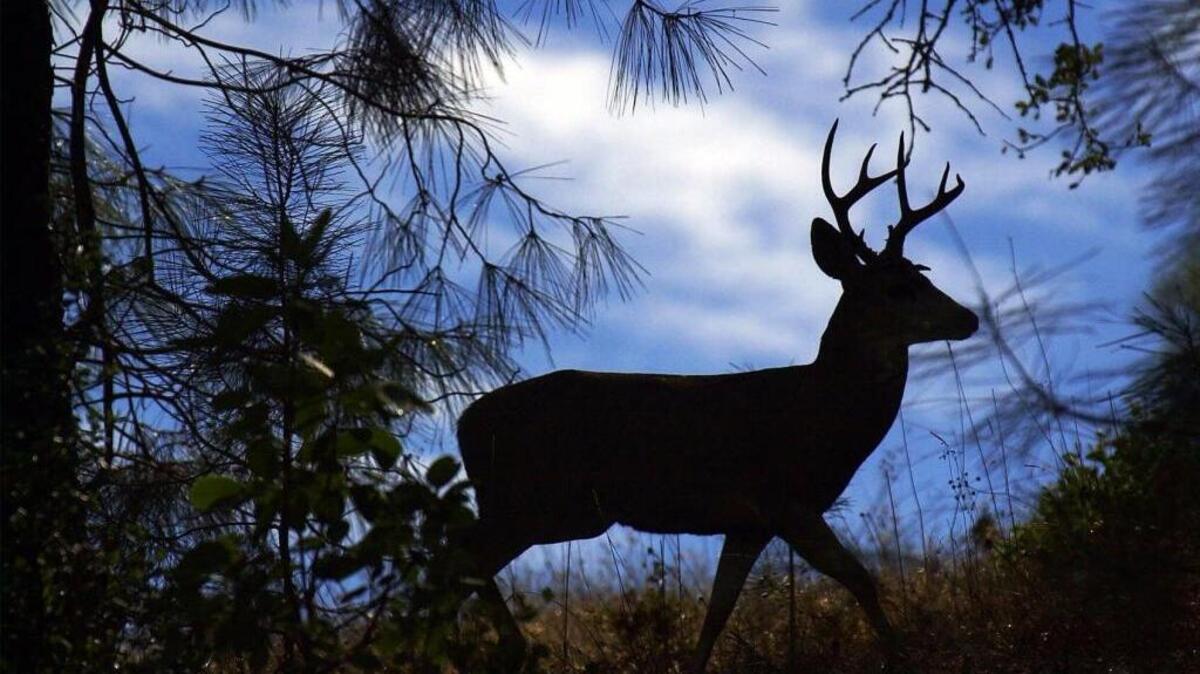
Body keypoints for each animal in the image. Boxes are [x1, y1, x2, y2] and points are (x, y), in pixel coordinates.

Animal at [456, 120, 978, 672]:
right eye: (897, 288)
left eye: (924, 273)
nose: (968, 317)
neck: (821, 411)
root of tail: (465, 422)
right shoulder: (785, 499)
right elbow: (860, 578)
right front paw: (902, 656)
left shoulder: (747, 524)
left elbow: (717, 612)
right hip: (535, 500)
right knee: (455, 555)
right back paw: (505, 645)